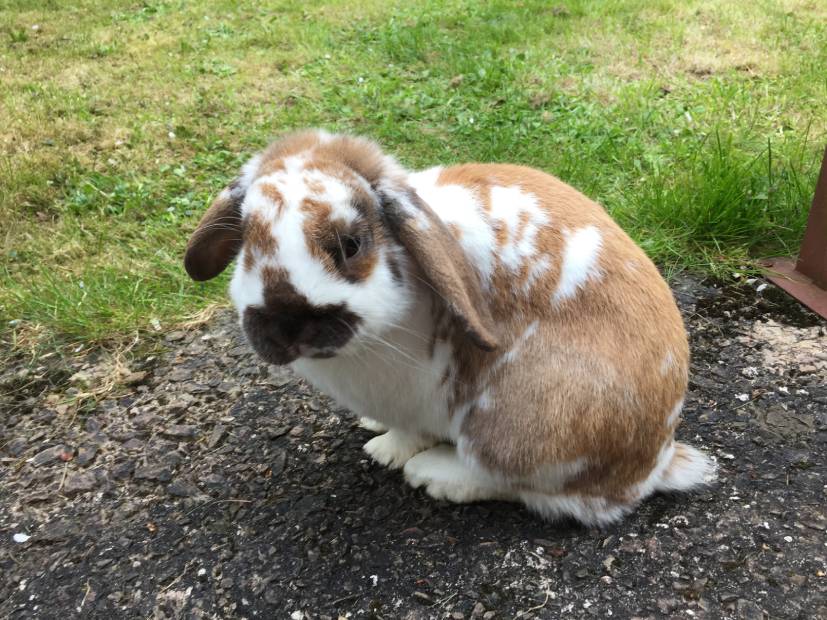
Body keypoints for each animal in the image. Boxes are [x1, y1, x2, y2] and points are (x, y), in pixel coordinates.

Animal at [184, 128, 716, 524]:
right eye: (246, 245)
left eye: (351, 245)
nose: (288, 324)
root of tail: (653, 466)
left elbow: (408, 433)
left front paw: (385, 451)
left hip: (516, 422)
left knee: (528, 490)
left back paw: (434, 475)